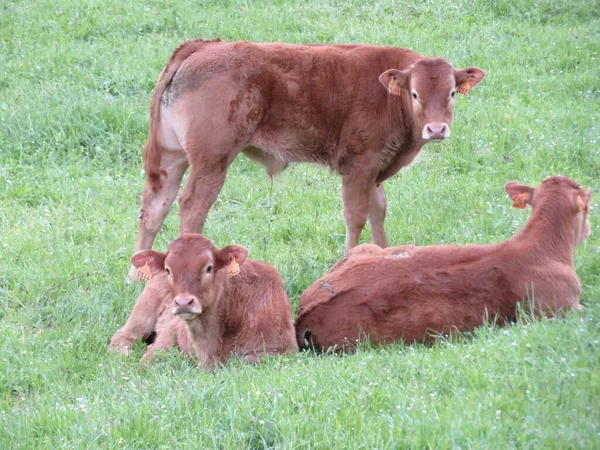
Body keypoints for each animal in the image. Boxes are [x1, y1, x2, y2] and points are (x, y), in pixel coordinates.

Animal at [129, 40, 486, 282]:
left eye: (452, 92)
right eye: (415, 94)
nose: (436, 129)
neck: (387, 94)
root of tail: (201, 47)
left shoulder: (376, 170)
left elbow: (378, 211)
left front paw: (384, 256)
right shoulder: (360, 165)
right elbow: (356, 215)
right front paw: (347, 263)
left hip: (171, 158)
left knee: (154, 206)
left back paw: (138, 276)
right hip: (211, 162)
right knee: (191, 206)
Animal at [296, 176, 592, 352]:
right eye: (587, 208)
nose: (589, 230)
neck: (542, 248)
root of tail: (304, 314)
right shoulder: (562, 309)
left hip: (367, 249)